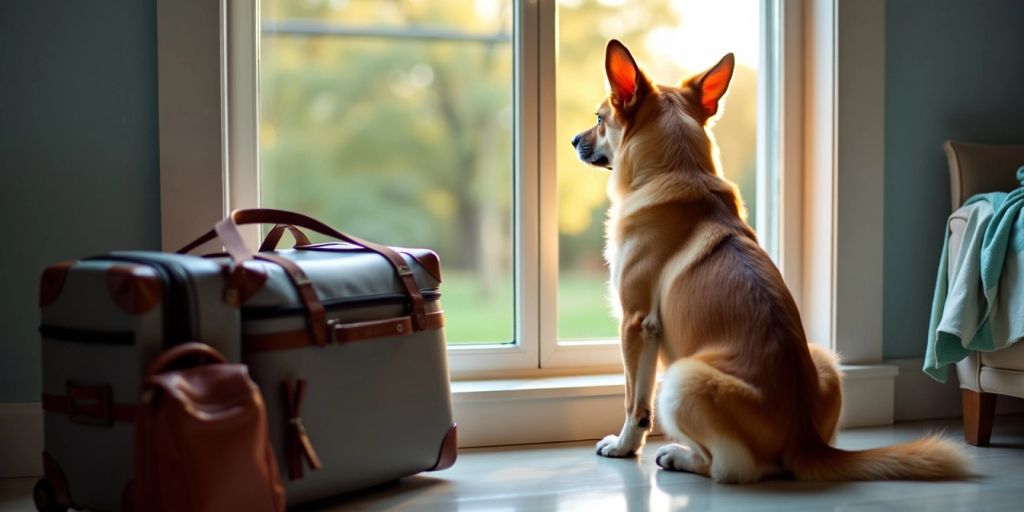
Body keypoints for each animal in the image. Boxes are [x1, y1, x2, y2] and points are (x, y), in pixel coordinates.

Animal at [573, 39, 970, 483]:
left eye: (599, 119)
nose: (572, 140)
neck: (680, 171)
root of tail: (805, 442)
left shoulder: (636, 323)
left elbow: (633, 402)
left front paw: (624, 446)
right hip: (823, 359)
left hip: (681, 379)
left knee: (731, 467)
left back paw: (679, 456)